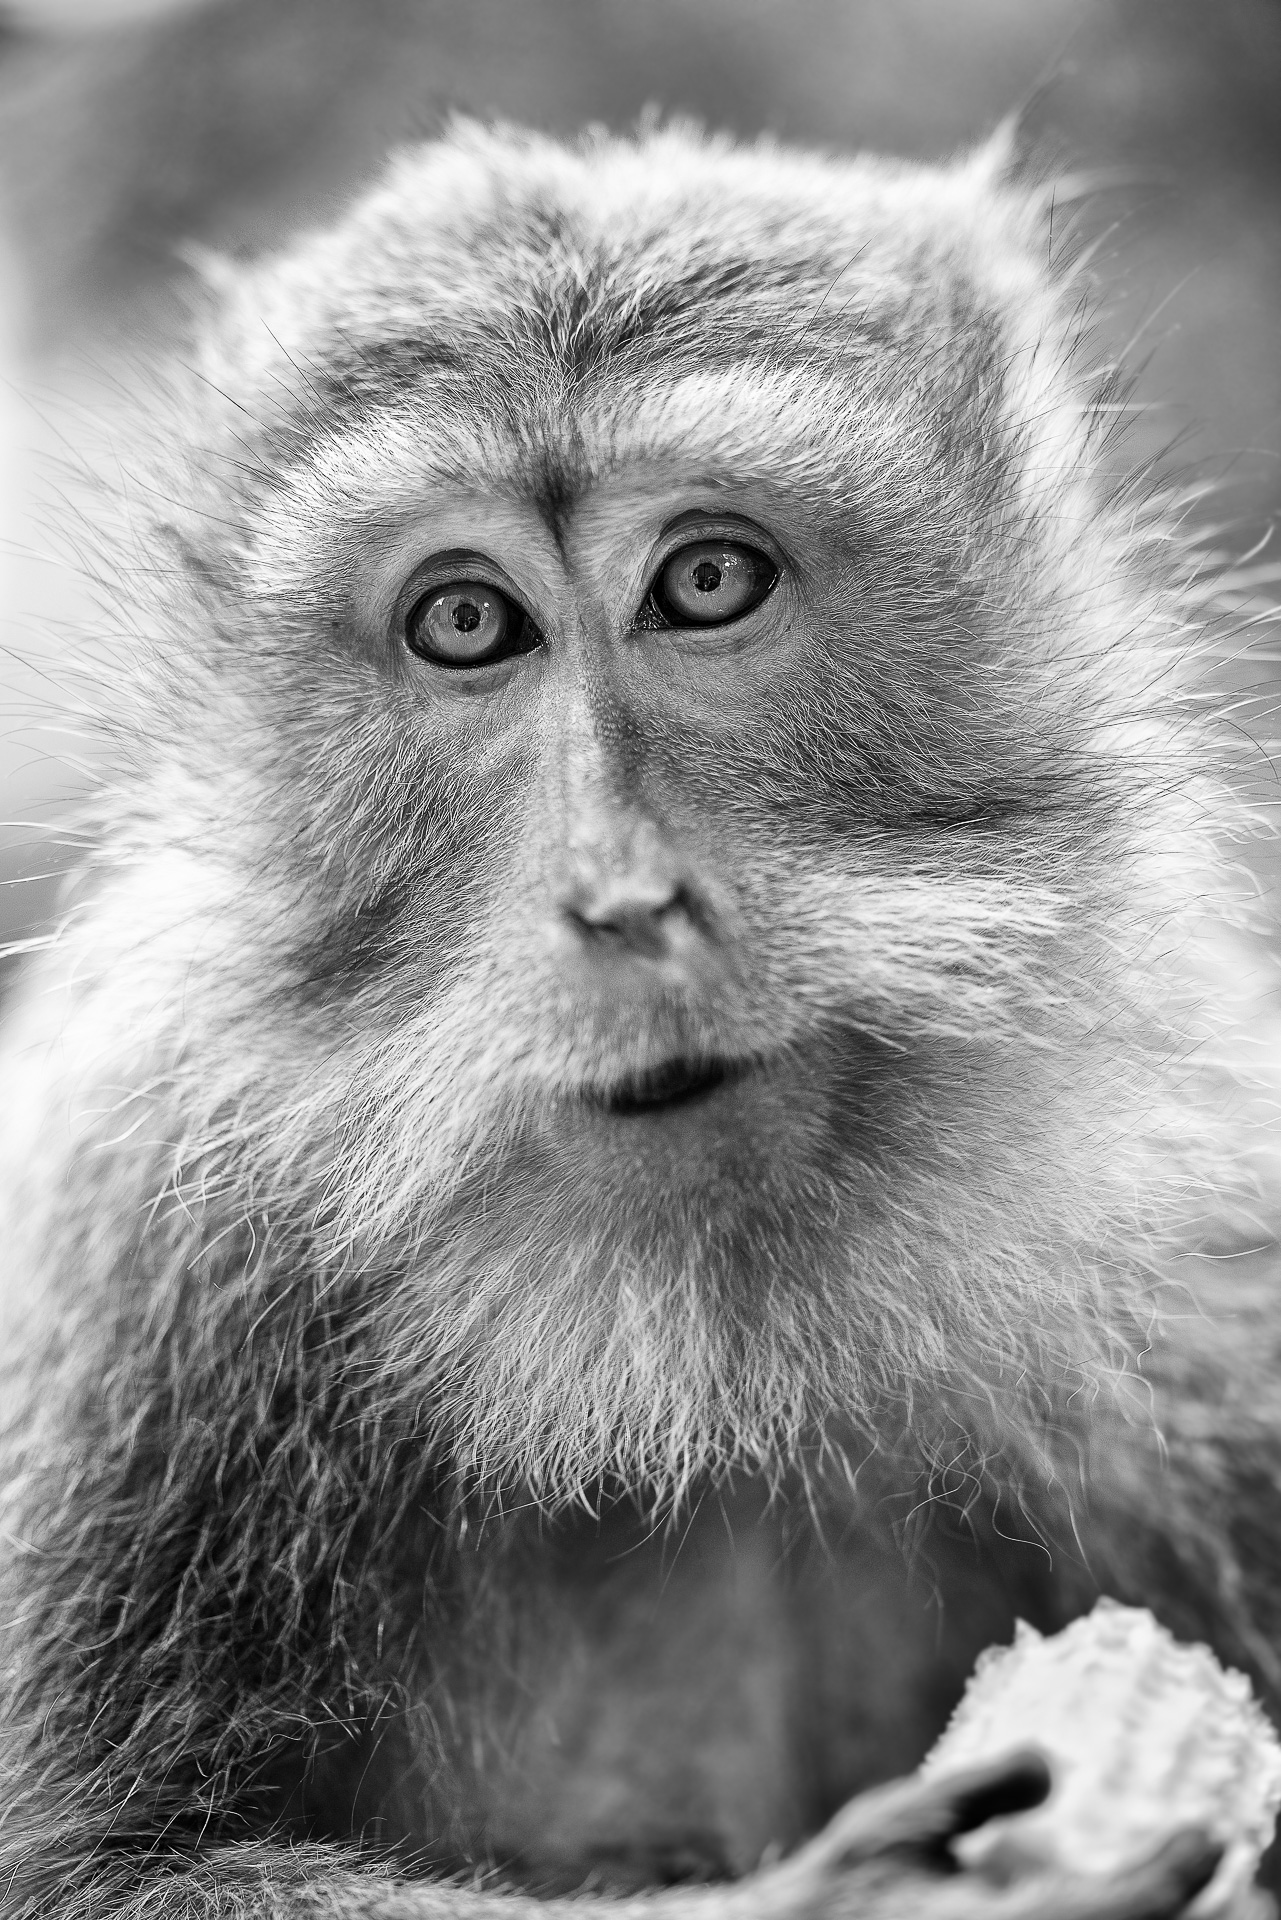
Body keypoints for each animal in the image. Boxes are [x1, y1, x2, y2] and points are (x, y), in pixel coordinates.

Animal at [0, 111, 1275, 1919]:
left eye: (710, 580)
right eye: (466, 621)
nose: (618, 897)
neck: (692, 1353)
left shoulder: (1216, 1235)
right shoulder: (137, 1233)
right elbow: (99, 1869)